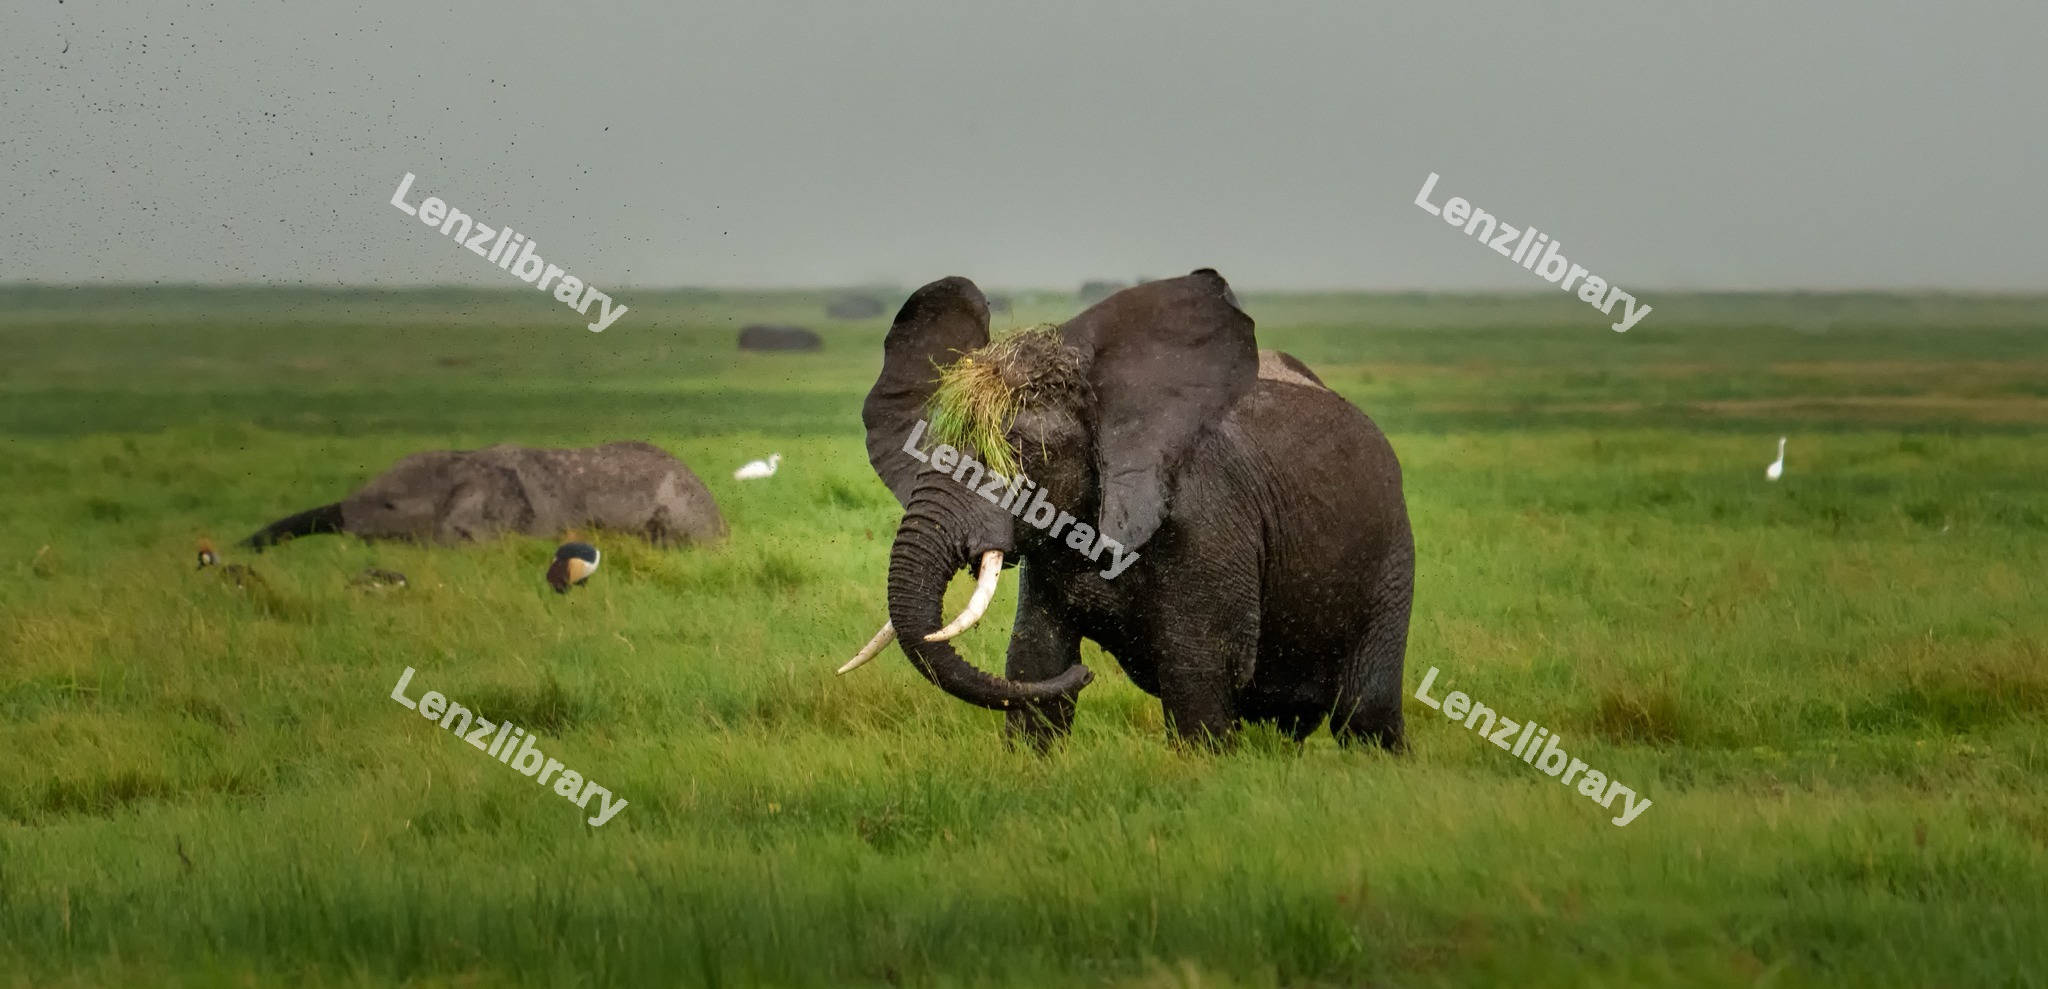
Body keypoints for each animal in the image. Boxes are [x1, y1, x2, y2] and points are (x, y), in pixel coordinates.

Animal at [843, 269, 1414, 750]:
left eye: (1019, 452)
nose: (1089, 674)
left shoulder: (1208, 529)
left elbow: (1197, 675)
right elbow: (1035, 662)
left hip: (1391, 556)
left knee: (1364, 714)